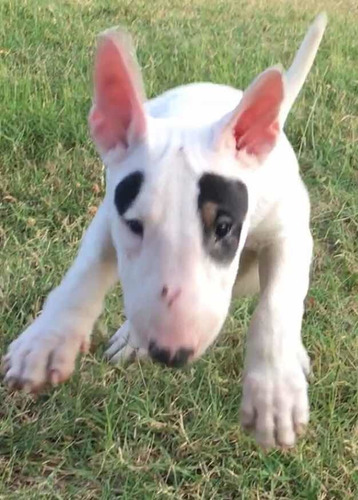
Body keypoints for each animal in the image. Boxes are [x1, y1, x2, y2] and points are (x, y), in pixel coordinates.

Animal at [2, 13, 328, 448]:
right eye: (134, 225)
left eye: (223, 226)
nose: (172, 354)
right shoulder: (109, 214)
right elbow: (85, 270)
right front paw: (44, 342)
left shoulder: (289, 228)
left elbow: (276, 303)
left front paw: (274, 395)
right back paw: (130, 338)